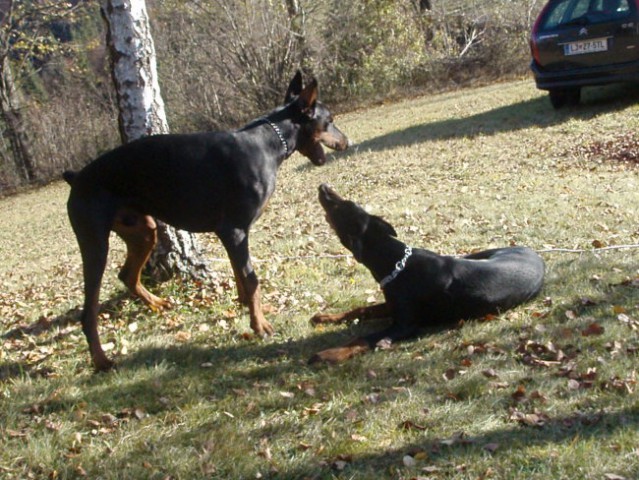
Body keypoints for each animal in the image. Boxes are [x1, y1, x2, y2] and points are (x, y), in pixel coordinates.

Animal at [65, 72, 350, 372]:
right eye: (329, 120)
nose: (347, 142)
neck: (268, 142)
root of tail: (76, 177)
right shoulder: (234, 230)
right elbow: (251, 278)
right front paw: (259, 325)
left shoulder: (231, 233)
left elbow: (240, 274)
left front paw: (249, 308)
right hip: (94, 242)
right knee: (89, 310)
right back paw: (101, 360)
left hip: (142, 230)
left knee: (127, 275)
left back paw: (157, 303)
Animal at [310, 185, 544, 364]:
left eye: (341, 205)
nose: (323, 186)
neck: (396, 263)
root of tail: (536, 255)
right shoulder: (392, 306)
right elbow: (360, 309)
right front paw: (326, 317)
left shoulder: (404, 325)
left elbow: (361, 338)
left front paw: (329, 354)